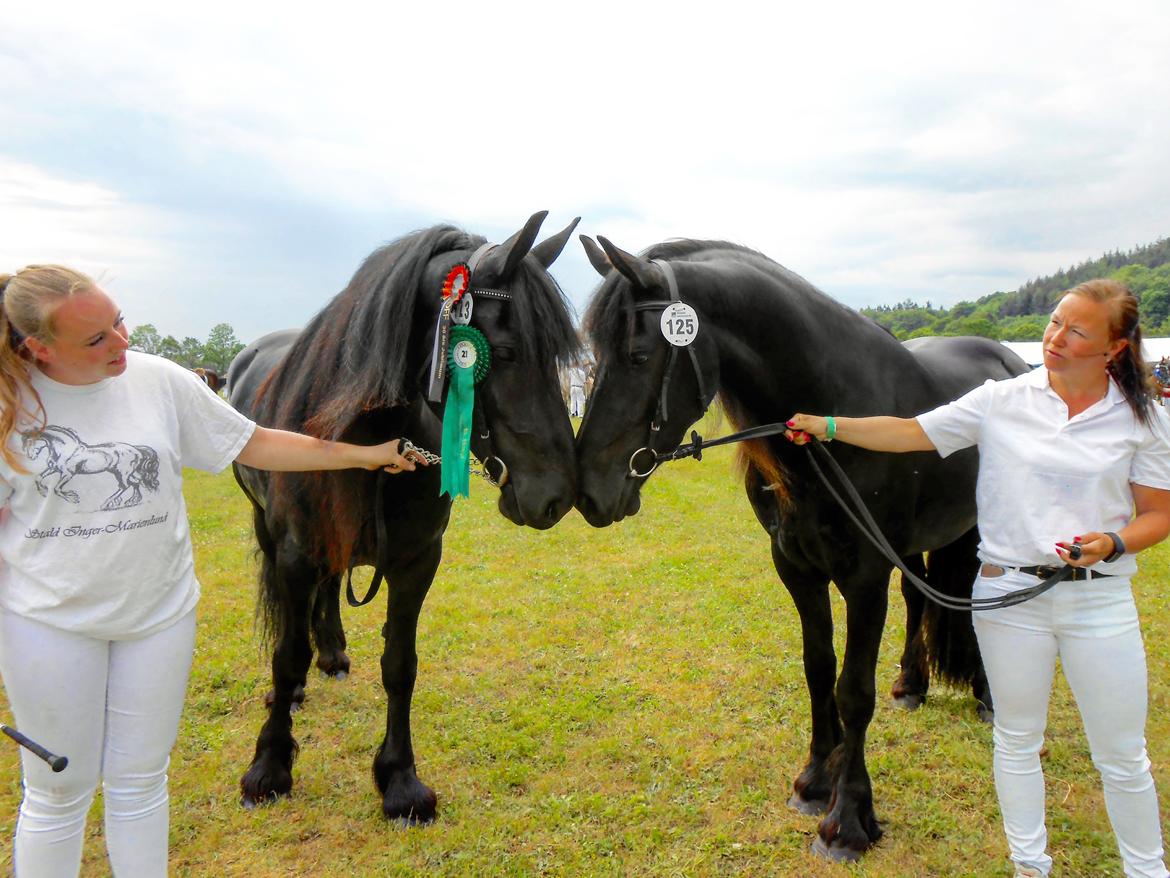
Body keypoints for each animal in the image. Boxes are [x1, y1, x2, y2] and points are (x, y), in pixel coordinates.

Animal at [224, 213, 580, 824]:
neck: (368, 443)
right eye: (507, 352)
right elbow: (286, 655)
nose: (557, 497)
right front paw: (268, 768)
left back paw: (333, 651)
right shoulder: (295, 554)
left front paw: (400, 781)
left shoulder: (416, 562)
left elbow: (400, 664)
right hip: (268, 530)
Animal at [573, 237, 1024, 861]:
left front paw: (849, 819)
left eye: (638, 356)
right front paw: (815, 781)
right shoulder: (797, 569)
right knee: (921, 599)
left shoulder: (864, 578)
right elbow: (818, 669)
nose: (589, 491)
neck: (835, 412)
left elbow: (853, 690)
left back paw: (988, 695)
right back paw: (913, 684)